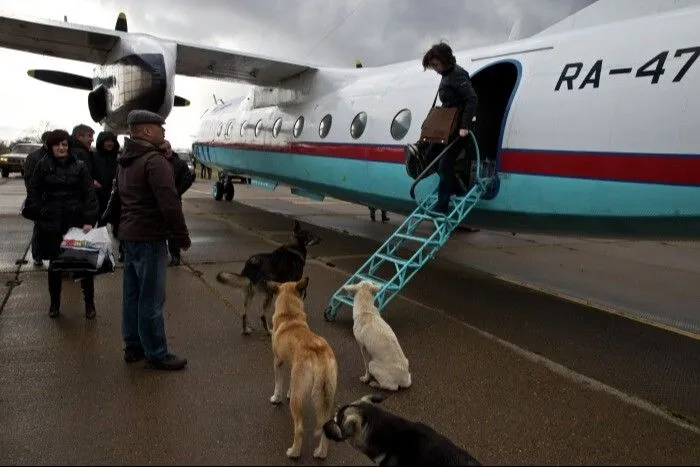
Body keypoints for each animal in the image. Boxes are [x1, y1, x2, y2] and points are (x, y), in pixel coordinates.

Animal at [266, 278, 340, 460]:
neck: (290, 315)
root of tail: (318, 351)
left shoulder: (277, 362)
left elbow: (278, 384)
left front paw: (276, 398)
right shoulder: (292, 367)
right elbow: (289, 384)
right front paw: (286, 392)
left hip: (298, 401)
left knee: (299, 429)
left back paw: (294, 452)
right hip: (327, 397)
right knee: (325, 427)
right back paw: (321, 453)